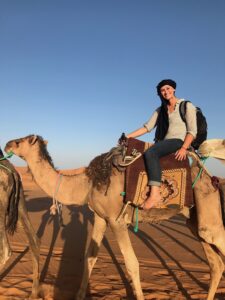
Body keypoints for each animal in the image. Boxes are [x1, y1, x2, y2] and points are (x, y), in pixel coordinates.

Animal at [4, 134, 225, 300]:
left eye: (22, 141)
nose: (7, 143)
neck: (87, 183)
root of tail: (212, 179)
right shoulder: (100, 218)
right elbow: (90, 257)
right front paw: (79, 295)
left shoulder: (117, 220)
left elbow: (132, 264)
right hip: (196, 222)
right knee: (216, 264)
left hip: (209, 216)